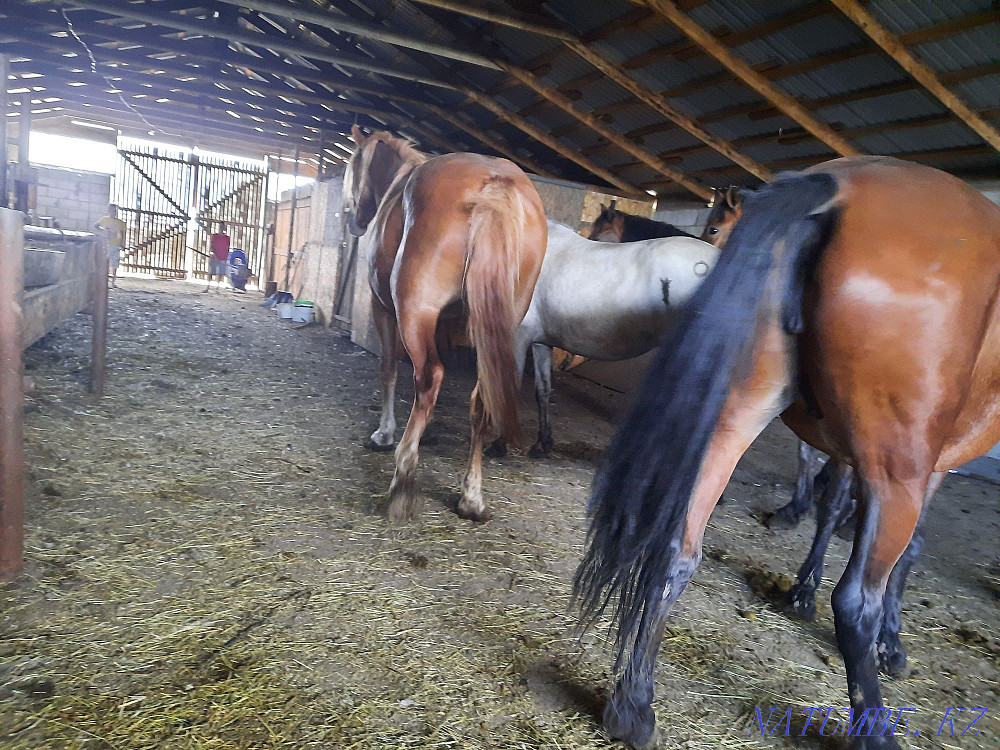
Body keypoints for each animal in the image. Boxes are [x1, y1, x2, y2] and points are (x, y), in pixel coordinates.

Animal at [343, 125, 547, 523]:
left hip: (414, 313)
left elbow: (389, 368)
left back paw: (403, 476)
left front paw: (385, 434)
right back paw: (472, 497)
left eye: (352, 163)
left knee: (429, 376)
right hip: (497, 331)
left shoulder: (384, 310)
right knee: (481, 399)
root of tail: (495, 184)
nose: (351, 219)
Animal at [574, 156, 1000, 749]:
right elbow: (905, 550)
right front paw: (889, 643)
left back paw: (633, 707)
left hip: (735, 417)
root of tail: (835, 187)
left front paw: (803, 583)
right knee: (855, 603)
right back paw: (874, 729)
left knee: (676, 549)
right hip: (898, 472)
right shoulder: (926, 466)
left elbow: (832, 505)